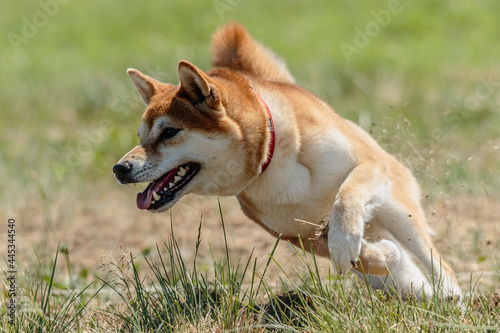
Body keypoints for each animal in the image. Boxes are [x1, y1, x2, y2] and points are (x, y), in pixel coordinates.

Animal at [113, 24, 460, 298]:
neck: (272, 156)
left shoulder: (367, 164)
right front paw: (377, 254)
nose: (120, 168)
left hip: (399, 211)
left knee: (436, 263)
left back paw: (450, 297)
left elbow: (346, 199)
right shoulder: (297, 236)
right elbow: (363, 255)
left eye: (169, 131)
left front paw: (348, 238)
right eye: (141, 136)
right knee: (403, 275)